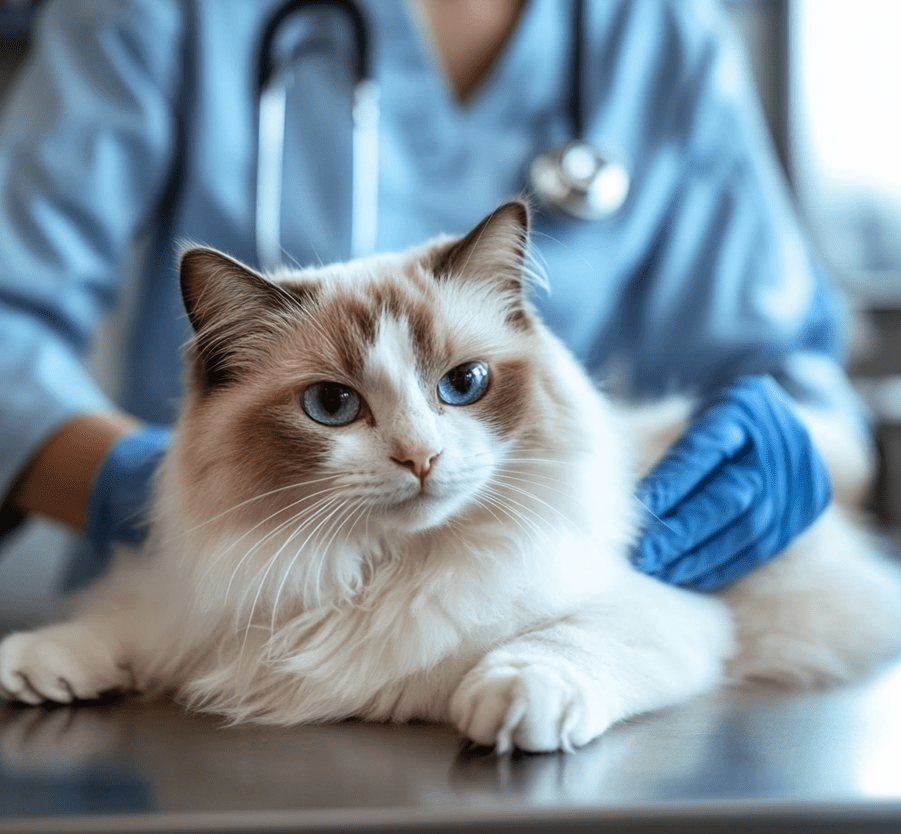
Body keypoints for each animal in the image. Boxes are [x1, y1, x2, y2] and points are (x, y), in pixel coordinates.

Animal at [1, 198, 900, 752]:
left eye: (461, 385)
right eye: (332, 405)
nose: (419, 457)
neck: (374, 569)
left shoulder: (656, 606)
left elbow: (558, 641)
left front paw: (515, 699)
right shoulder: (210, 595)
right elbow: (129, 621)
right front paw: (40, 663)